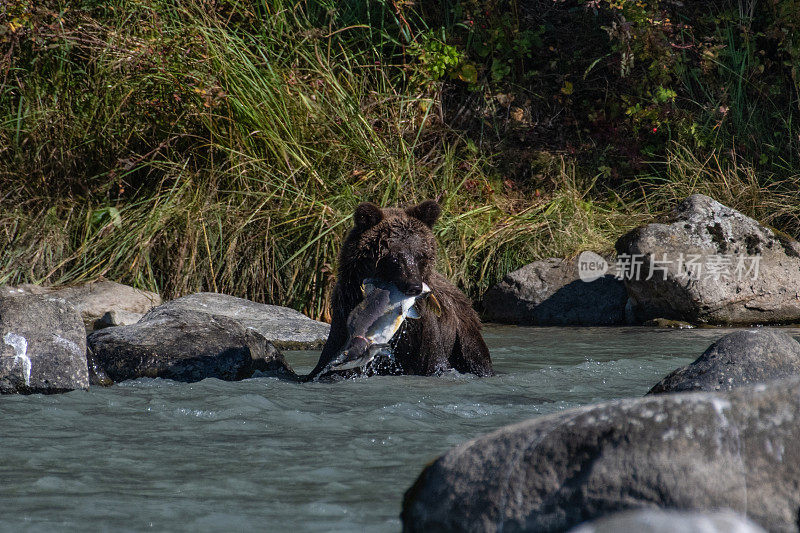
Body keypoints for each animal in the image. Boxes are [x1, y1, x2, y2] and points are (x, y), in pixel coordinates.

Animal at [308, 200, 490, 378]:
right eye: (394, 258)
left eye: (420, 256)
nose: (415, 287)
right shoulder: (344, 312)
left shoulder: (422, 330)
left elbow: (433, 361)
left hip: (462, 333)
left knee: (475, 356)